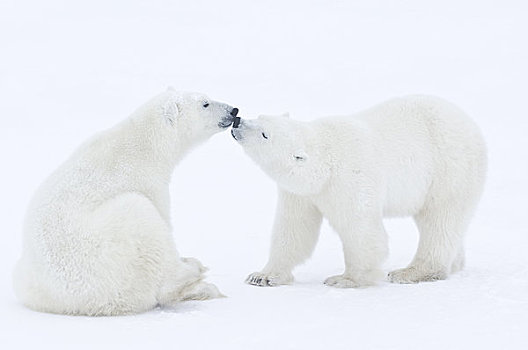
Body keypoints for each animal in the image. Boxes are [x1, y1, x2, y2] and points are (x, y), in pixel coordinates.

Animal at [13, 89, 238, 316]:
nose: (233, 110)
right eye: (205, 103)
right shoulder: (147, 181)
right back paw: (197, 275)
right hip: (117, 249)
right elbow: (163, 219)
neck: (146, 144)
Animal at [231, 95, 486, 288]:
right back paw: (454, 264)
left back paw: (411, 272)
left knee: (440, 220)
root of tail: (470, 123)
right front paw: (262, 276)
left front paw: (346, 279)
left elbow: (360, 229)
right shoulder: (301, 193)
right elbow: (294, 228)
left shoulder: (350, 177)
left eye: (265, 134)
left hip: (449, 169)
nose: (237, 121)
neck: (325, 161)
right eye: (260, 117)